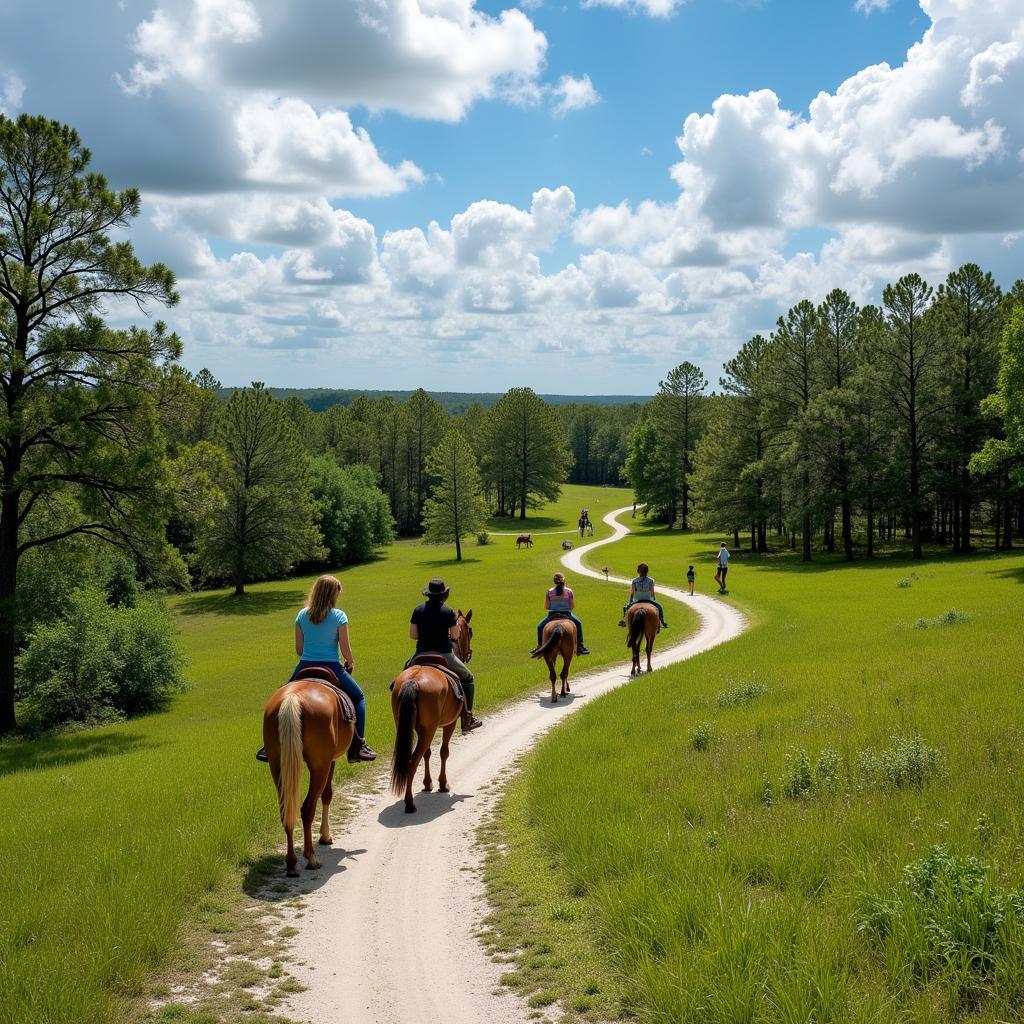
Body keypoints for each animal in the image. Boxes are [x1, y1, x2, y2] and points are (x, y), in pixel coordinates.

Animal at [389, 606, 473, 815]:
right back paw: (410, 803)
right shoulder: (450, 723)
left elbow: (428, 753)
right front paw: (443, 784)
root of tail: (413, 681)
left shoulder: (424, 729)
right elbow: (444, 752)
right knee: (412, 761)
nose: (469, 653)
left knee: (415, 757)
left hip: (412, 727)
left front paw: (428, 784)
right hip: (431, 729)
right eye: (470, 631)